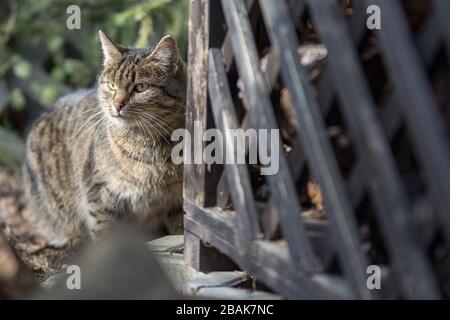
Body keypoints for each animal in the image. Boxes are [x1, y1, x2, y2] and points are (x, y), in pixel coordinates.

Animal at [22, 31, 185, 245]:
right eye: (112, 85)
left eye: (141, 87)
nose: (117, 104)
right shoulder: (99, 194)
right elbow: (105, 234)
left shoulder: (176, 201)